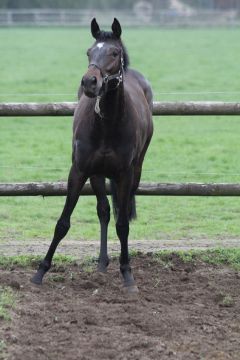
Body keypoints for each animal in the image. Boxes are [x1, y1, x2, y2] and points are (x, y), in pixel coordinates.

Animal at [31, 17, 153, 292]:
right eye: (89, 52)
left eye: (114, 52)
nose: (89, 82)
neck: (107, 124)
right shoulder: (79, 171)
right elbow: (63, 223)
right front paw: (40, 272)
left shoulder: (125, 174)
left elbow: (123, 225)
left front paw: (127, 274)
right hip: (97, 175)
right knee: (104, 210)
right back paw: (101, 262)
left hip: (135, 171)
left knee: (118, 212)